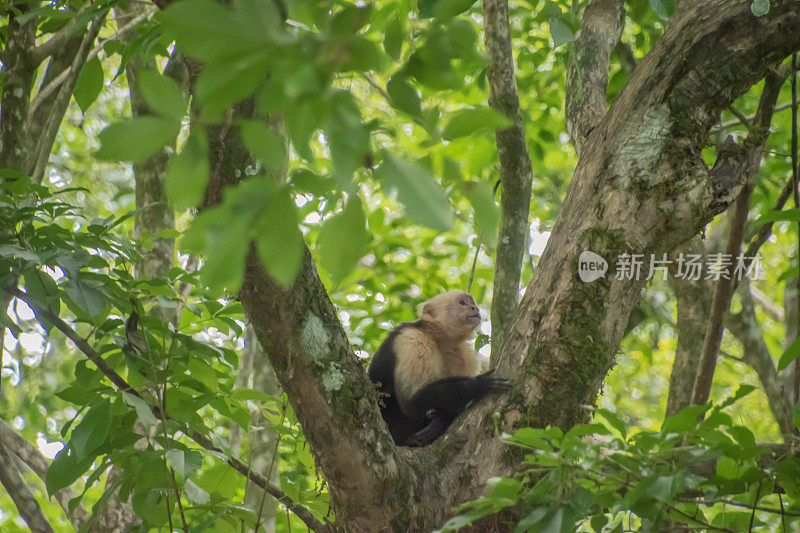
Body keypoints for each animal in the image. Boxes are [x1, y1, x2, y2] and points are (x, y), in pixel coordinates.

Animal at [368, 290, 512, 444]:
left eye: (472, 303)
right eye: (462, 302)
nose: (475, 308)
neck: (439, 337)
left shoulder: (463, 353)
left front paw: (442, 418)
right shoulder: (413, 339)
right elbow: (411, 403)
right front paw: (478, 385)